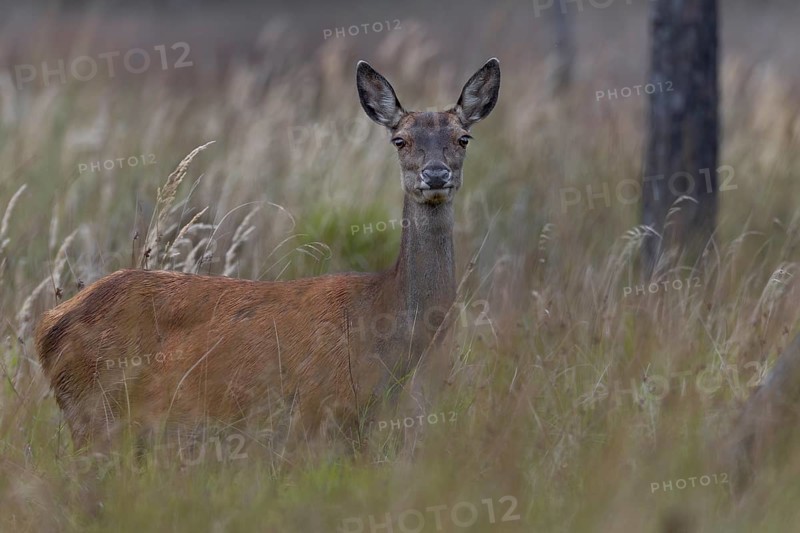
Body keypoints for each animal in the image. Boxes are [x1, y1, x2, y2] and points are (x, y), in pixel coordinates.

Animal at [35, 58, 501, 459]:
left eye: (463, 137)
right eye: (400, 140)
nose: (436, 174)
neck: (381, 324)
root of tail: (48, 326)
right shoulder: (316, 411)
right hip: (95, 415)